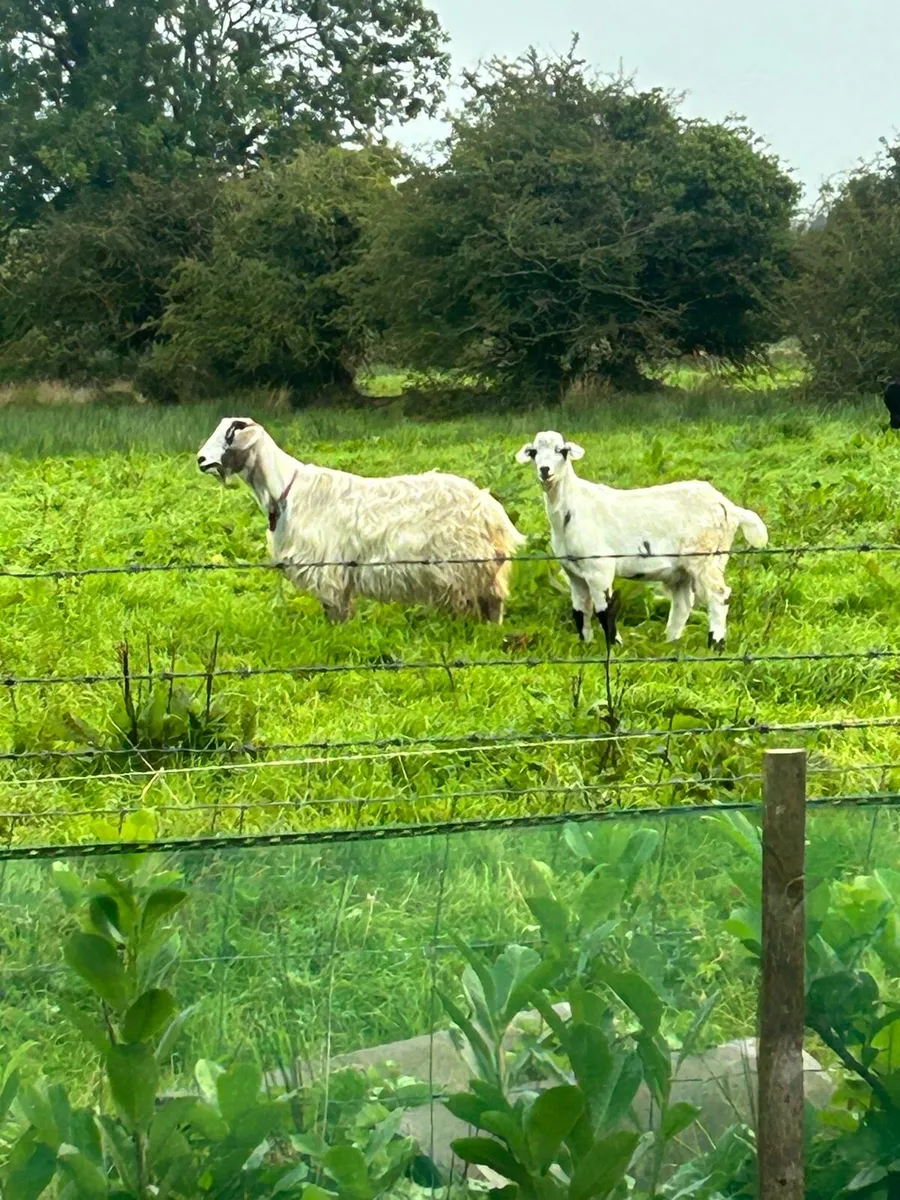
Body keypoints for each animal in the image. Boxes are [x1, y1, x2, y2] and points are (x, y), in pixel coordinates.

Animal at [197, 418, 524, 623]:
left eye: (232, 432)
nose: (201, 459)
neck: (287, 489)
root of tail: (491, 508)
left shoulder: (327, 566)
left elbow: (334, 610)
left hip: (468, 563)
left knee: (492, 601)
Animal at [515, 430, 768, 650]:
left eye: (562, 451)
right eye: (534, 452)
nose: (545, 470)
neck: (572, 506)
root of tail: (729, 506)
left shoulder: (599, 568)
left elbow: (605, 610)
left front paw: (615, 646)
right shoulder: (573, 573)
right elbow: (580, 611)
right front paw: (585, 645)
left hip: (706, 556)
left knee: (719, 595)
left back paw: (715, 643)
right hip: (681, 568)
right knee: (683, 603)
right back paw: (670, 641)